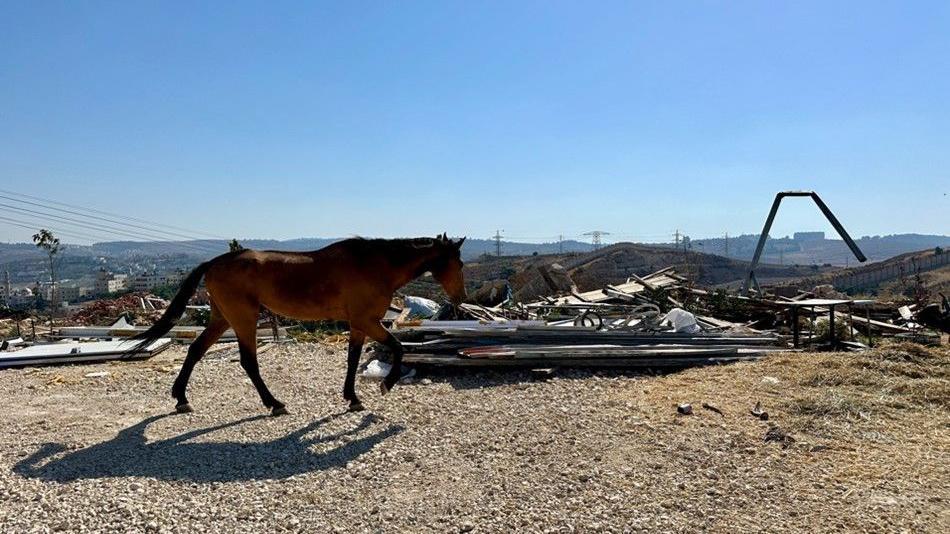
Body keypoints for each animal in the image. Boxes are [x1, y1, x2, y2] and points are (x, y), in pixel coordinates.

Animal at [128, 237, 466, 416]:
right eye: (459, 263)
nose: (460, 297)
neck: (376, 265)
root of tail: (213, 263)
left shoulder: (358, 324)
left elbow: (352, 359)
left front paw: (352, 398)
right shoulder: (367, 321)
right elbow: (397, 348)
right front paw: (386, 384)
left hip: (222, 318)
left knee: (196, 351)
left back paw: (181, 398)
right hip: (243, 319)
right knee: (248, 362)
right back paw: (274, 403)